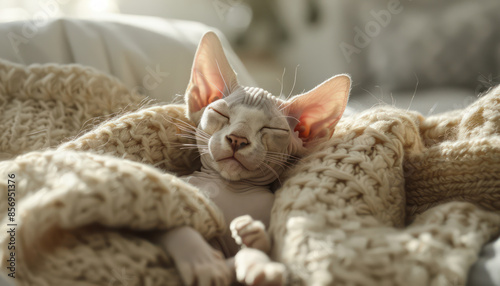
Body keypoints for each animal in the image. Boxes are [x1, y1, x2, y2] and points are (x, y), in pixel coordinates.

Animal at [154, 31, 350, 286]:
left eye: (271, 129)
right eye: (220, 113)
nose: (238, 139)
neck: (229, 187)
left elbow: (266, 249)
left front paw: (257, 251)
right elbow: (172, 226)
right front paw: (202, 262)